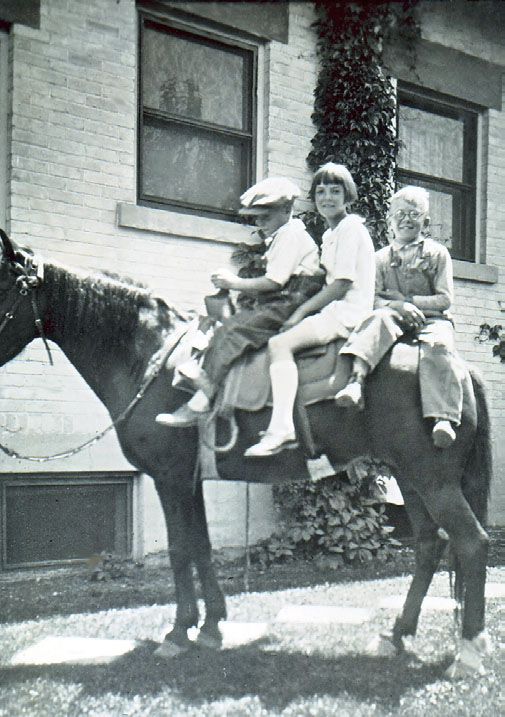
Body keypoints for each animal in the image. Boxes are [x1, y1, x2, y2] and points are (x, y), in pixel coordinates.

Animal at [0, 232, 490, 676]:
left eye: (2, 285)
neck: (150, 357)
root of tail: (459, 367)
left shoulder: (169, 478)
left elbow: (179, 549)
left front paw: (178, 633)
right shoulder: (190, 480)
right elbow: (200, 546)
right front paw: (211, 626)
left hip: (433, 480)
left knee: (472, 543)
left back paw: (467, 653)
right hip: (411, 477)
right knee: (430, 545)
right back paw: (397, 634)